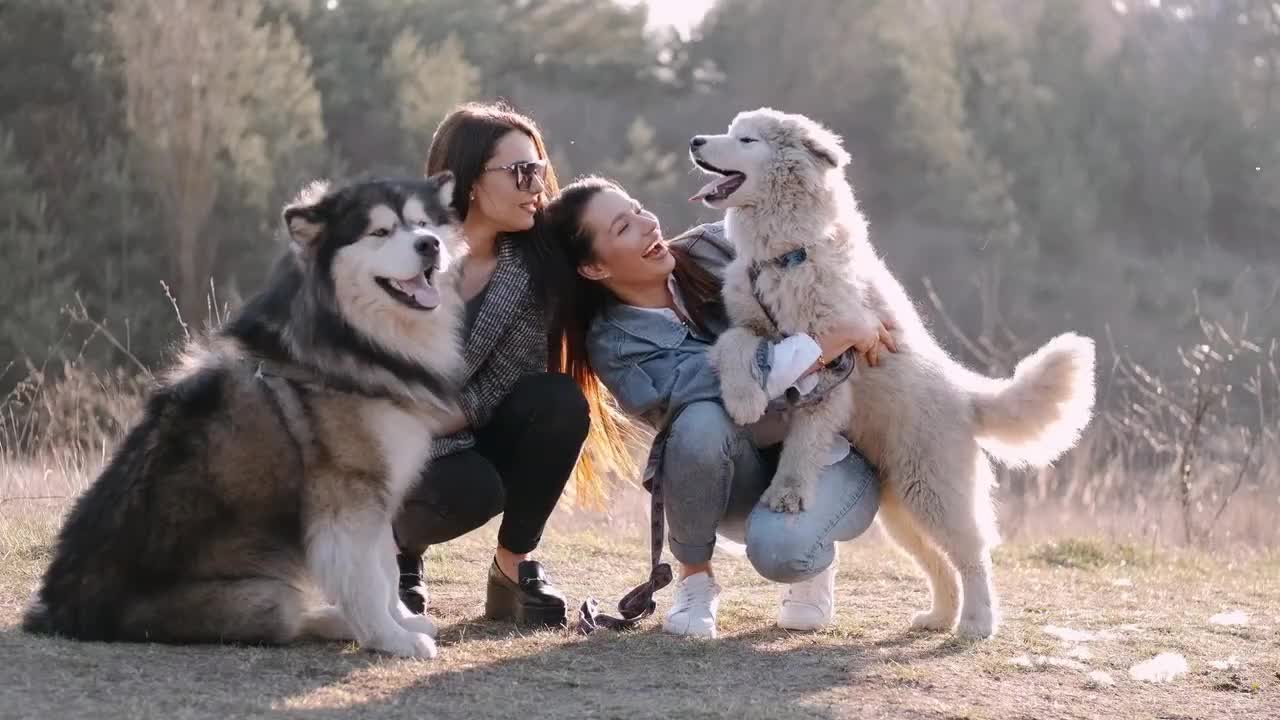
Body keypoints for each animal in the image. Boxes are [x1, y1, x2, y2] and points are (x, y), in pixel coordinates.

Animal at [23, 174, 465, 655]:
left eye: (423, 224)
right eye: (380, 232)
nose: (428, 245)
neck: (351, 337)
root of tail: (62, 611)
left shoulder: (378, 488)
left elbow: (386, 565)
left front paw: (402, 620)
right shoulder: (348, 493)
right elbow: (370, 579)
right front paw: (391, 637)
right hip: (264, 598)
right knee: (290, 616)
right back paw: (338, 621)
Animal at [696, 106, 1095, 632]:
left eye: (746, 139)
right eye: (729, 130)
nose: (696, 141)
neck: (788, 253)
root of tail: (966, 395)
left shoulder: (831, 369)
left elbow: (803, 443)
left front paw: (787, 493)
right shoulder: (751, 323)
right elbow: (734, 343)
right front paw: (743, 398)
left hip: (934, 493)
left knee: (973, 556)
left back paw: (976, 624)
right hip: (901, 510)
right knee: (938, 563)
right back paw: (938, 617)